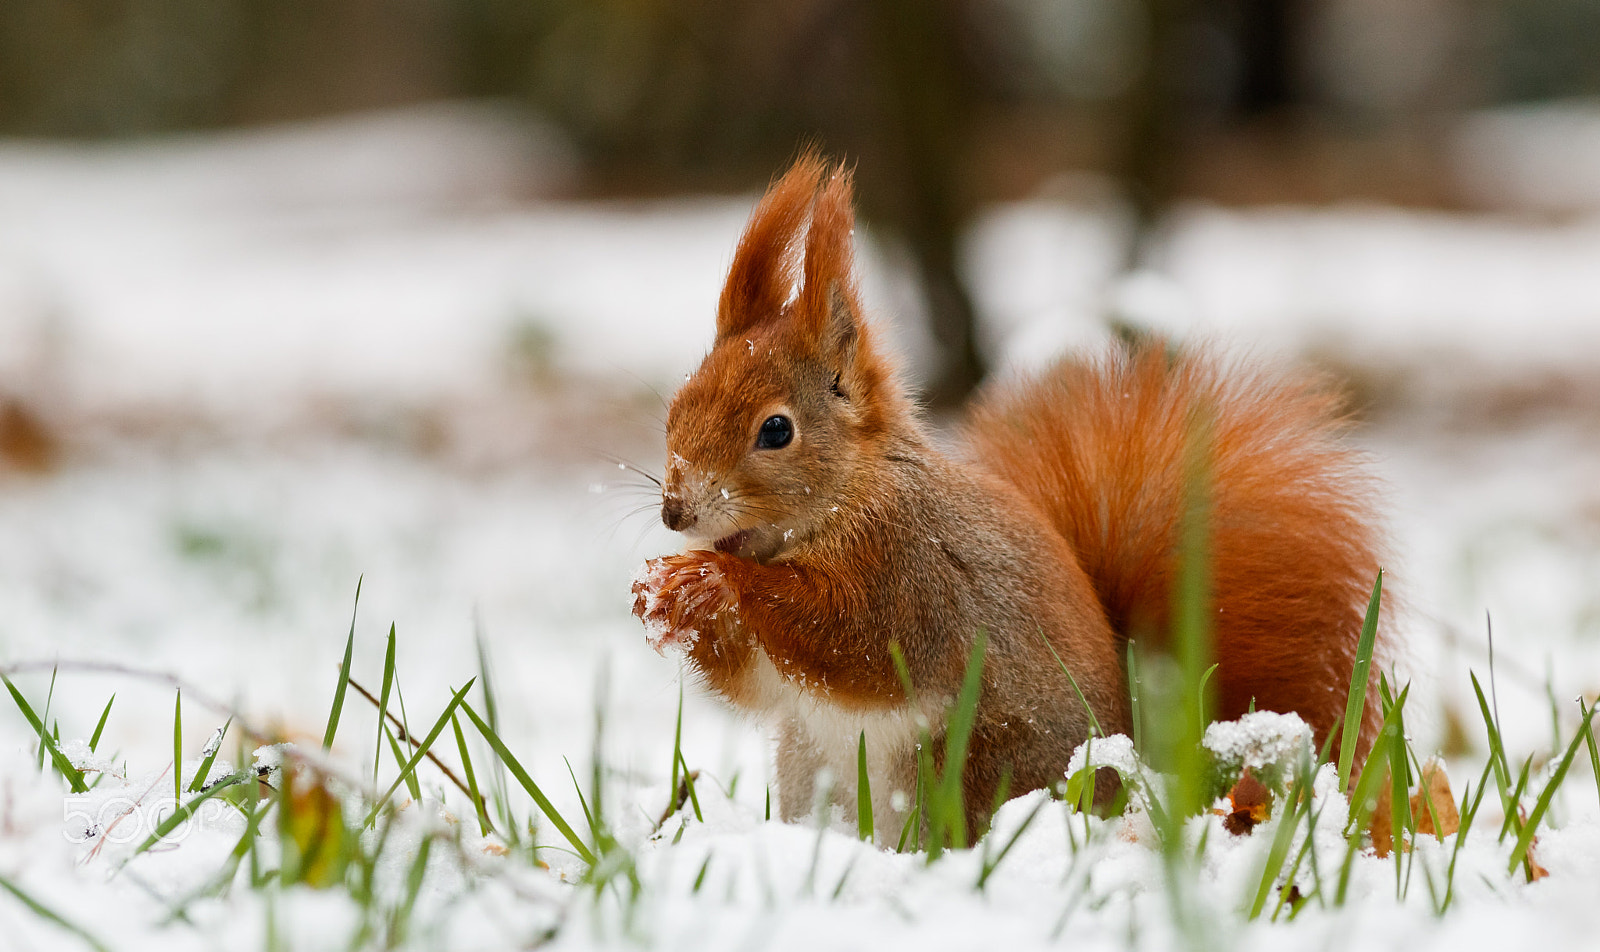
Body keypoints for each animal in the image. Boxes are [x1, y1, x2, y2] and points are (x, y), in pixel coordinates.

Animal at [630, 152, 1382, 838]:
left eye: (776, 430)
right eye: (678, 405)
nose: (675, 511)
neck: (839, 504)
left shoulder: (909, 571)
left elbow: (849, 639)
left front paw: (713, 579)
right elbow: (754, 682)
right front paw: (662, 600)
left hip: (967, 760)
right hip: (810, 761)